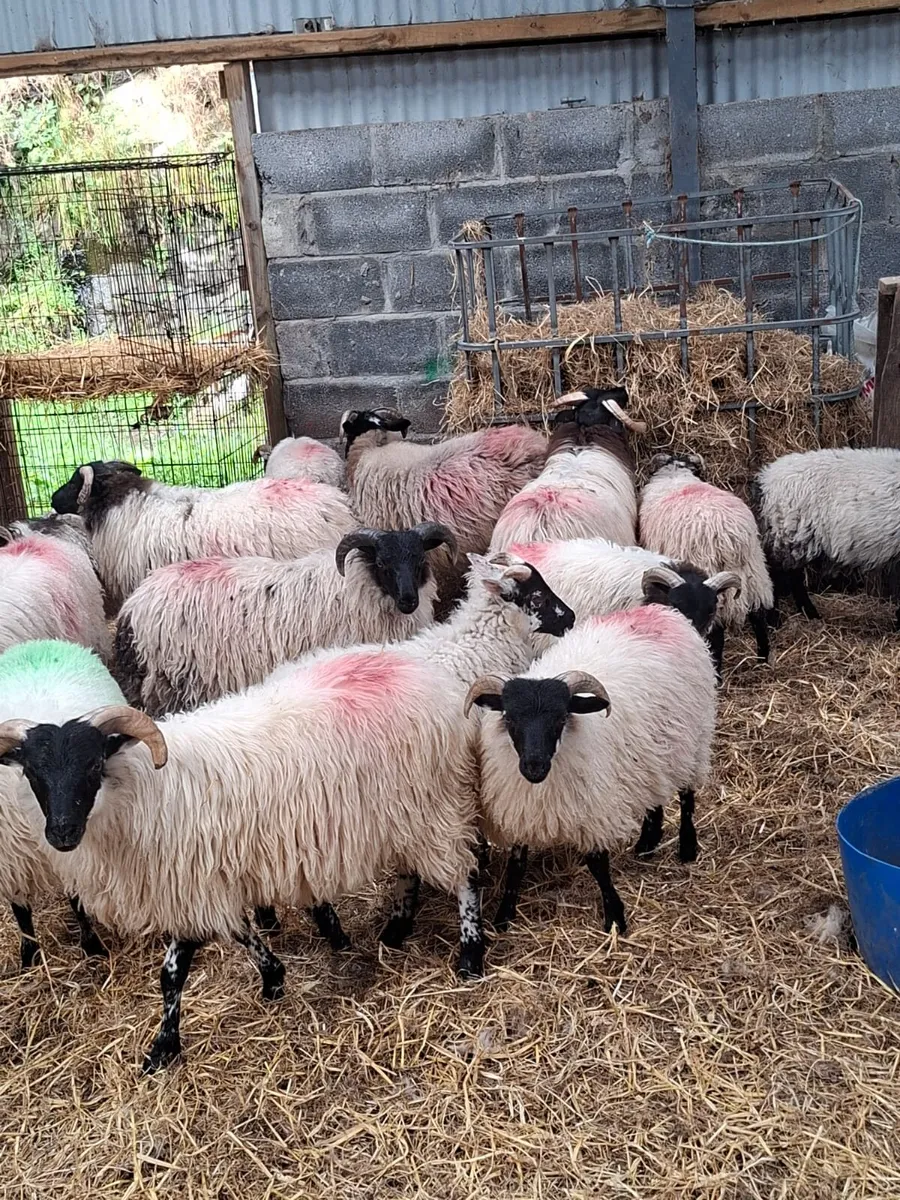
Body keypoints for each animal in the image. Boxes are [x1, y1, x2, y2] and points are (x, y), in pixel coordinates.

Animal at [0, 639, 124, 968]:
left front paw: (92, 947)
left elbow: (77, 900)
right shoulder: (9, 857)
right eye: (30, 771)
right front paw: (29, 957)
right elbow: (20, 910)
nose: (62, 832)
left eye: (96, 765)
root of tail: (35, 644)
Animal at [115, 522, 456, 715]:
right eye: (383, 563)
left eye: (420, 560)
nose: (408, 600)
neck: (358, 587)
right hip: (173, 682)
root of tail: (132, 606)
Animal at [466, 588, 717, 935]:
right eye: (510, 718)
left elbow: (598, 865)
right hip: (651, 751)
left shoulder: (592, 810)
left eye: (561, 718)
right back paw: (647, 843)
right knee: (653, 791)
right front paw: (503, 917)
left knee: (687, 795)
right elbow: (516, 866)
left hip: (694, 739)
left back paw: (687, 848)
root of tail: (661, 612)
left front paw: (615, 919)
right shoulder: (522, 809)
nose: (534, 767)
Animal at [639, 452, 774, 675]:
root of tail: (729, 537)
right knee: (758, 616)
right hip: (755, 571)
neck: (677, 474)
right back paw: (762, 660)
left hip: (710, 570)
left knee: (716, 632)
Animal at [751, 447, 900, 627]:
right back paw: (776, 620)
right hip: (791, 531)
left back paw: (808, 613)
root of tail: (766, 480)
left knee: (792, 576)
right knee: (777, 573)